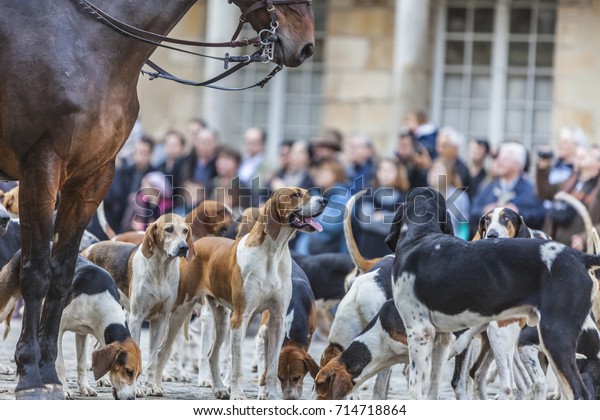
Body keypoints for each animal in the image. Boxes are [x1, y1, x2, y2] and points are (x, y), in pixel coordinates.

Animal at [0, 0, 316, 400]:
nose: (307, 45)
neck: (93, 41)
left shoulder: (92, 177)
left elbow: (61, 274)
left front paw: (49, 373)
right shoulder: (41, 166)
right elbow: (38, 273)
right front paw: (31, 375)